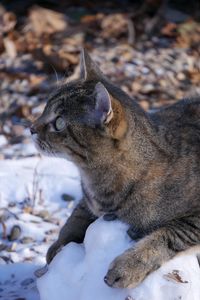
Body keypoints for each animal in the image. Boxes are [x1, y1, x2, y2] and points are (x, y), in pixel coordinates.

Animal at [30, 50, 200, 290]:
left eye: (59, 123)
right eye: (44, 109)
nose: (31, 128)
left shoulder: (194, 220)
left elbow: (169, 235)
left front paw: (129, 266)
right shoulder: (87, 201)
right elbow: (75, 217)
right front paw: (58, 245)